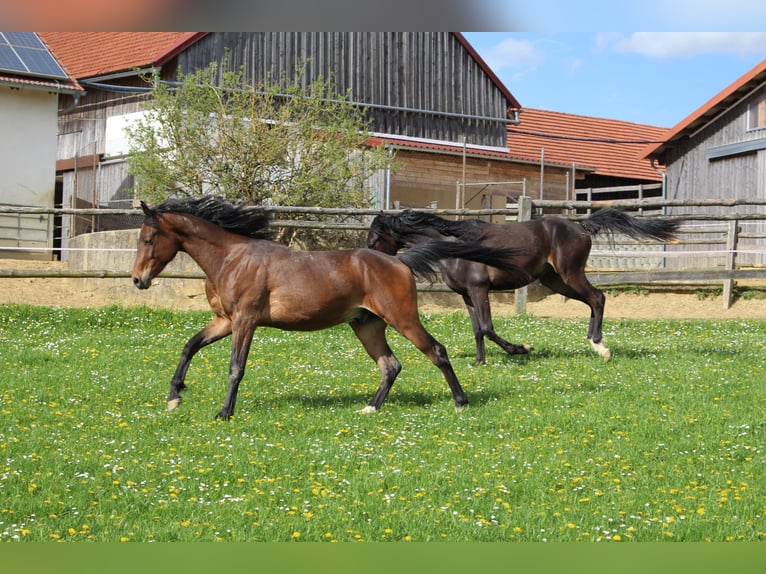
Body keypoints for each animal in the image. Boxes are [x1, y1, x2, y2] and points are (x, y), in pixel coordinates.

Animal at [131, 196, 524, 419]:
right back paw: (370, 408)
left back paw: (461, 402)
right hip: (367, 325)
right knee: (390, 365)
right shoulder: (224, 320)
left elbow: (235, 368)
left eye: (148, 238)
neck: (233, 259)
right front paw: (174, 397)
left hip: (402, 317)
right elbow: (189, 346)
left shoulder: (244, 321)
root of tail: (399, 261)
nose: (137, 280)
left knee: (436, 351)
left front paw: (224, 412)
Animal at [367, 208, 680, 364]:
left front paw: (521, 349)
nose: (370, 258)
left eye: (374, 237)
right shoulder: (467, 295)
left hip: (570, 273)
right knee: (592, 301)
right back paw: (594, 343)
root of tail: (581, 227)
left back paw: (600, 346)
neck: (454, 247)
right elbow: (477, 330)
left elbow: (487, 328)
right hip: (555, 280)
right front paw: (479, 362)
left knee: (598, 297)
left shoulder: (479, 289)